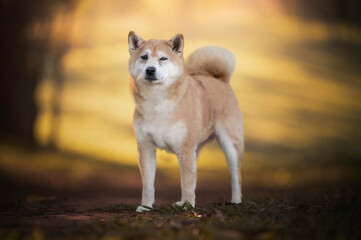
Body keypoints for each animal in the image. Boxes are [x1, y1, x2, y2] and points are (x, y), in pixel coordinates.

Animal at [128, 31, 243, 212]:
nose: (150, 70)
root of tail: (220, 80)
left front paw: (188, 205)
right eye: (144, 57)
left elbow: (186, 182)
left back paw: (236, 201)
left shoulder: (185, 148)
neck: (157, 103)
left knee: (236, 176)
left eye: (163, 58)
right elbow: (148, 184)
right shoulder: (146, 147)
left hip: (230, 145)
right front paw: (146, 206)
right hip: (195, 150)